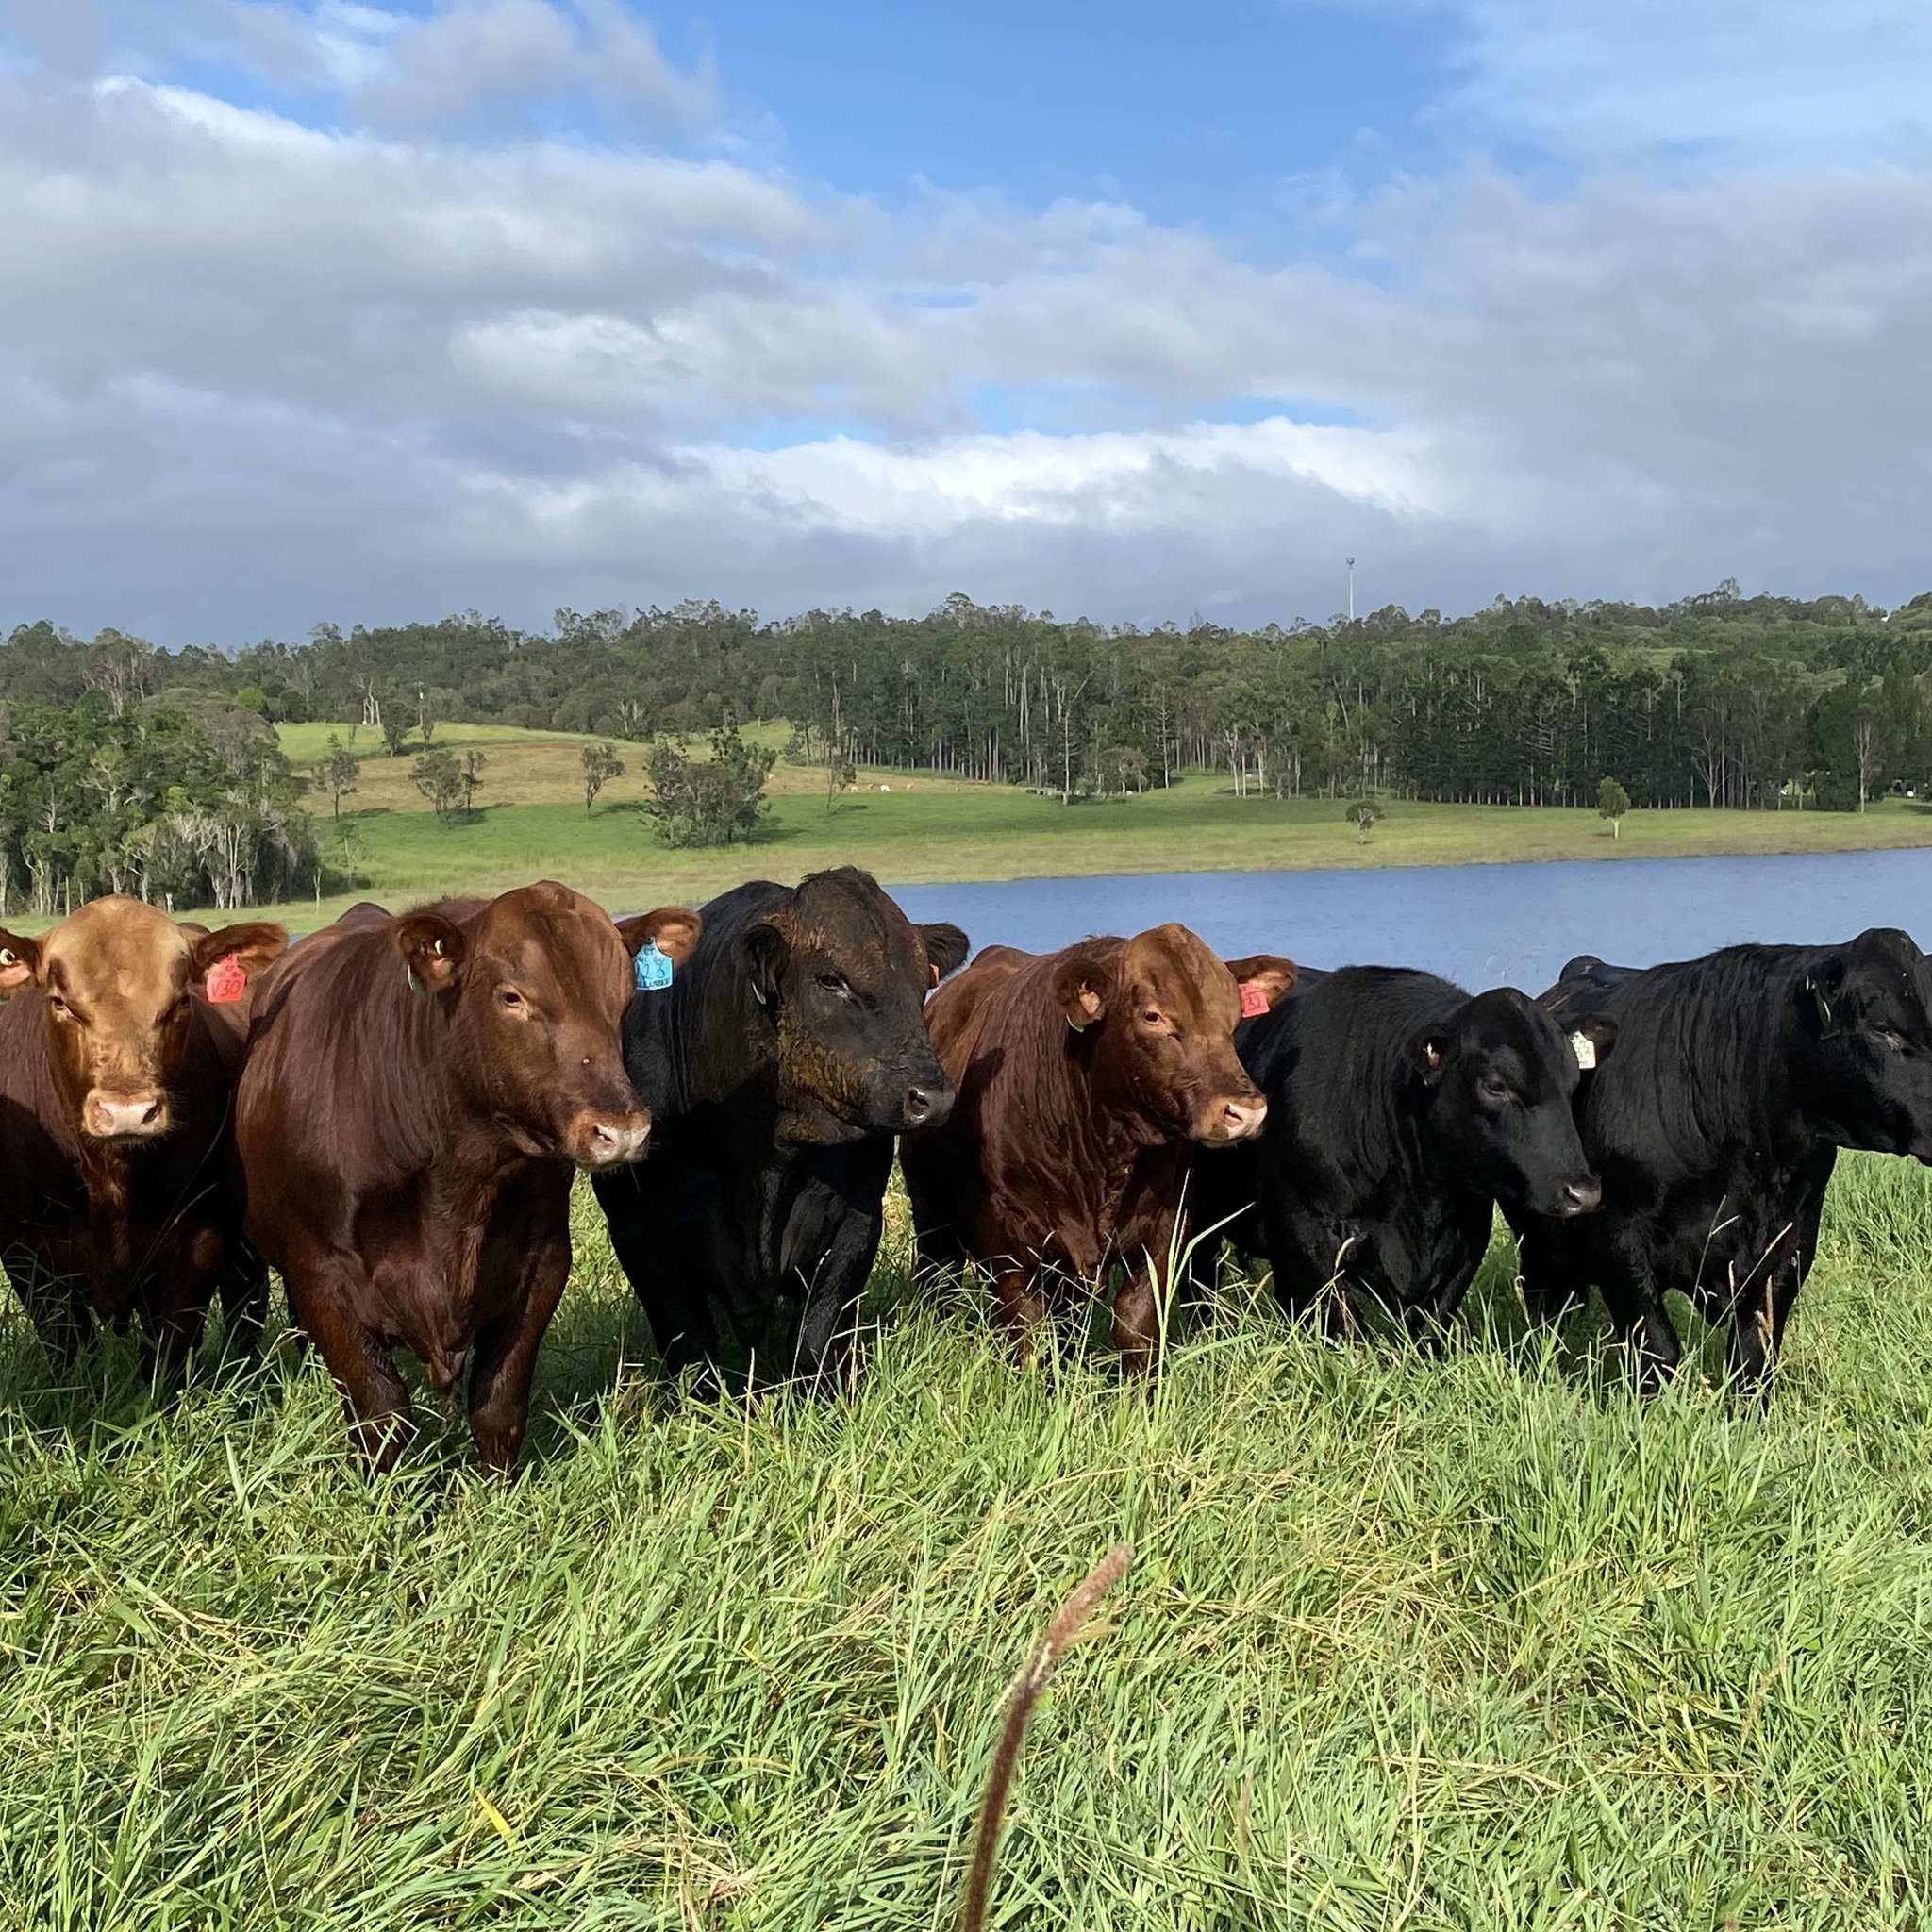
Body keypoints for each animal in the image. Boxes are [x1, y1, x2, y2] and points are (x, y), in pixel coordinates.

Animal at [0, 897, 286, 1376]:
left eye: (181, 1001)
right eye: (60, 1003)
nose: (127, 1112)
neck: (110, 1181)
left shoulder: (201, 1240)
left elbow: (165, 1354)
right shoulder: (25, 1252)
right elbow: (69, 1351)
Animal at [235, 883, 700, 1472]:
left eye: (625, 1000)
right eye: (512, 998)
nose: (622, 1130)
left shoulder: (543, 1261)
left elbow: (498, 1402)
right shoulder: (320, 1274)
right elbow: (380, 1411)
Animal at [592, 867, 968, 1385]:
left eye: (920, 981)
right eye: (830, 979)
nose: (931, 1097)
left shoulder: (857, 1222)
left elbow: (815, 1335)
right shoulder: (638, 1233)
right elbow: (689, 1348)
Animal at [900, 925, 1297, 1371]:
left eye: (1233, 1015)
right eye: (1153, 1016)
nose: (1245, 1110)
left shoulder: (1164, 1235)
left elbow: (1136, 1328)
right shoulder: (1006, 1247)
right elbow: (1029, 1336)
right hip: (931, 1214)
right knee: (940, 1278)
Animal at [1191, 967, 1610, 1340]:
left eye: (1573, 1080)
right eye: (1495, 1085)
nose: (1583, 1192)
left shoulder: (1466, 1239)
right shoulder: (1304, 1238)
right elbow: (1343, 1330)